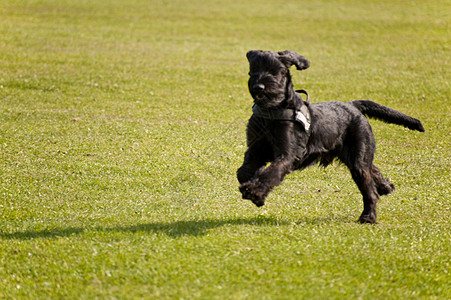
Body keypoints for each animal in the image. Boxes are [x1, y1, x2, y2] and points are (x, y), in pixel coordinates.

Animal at [238, 49, 426, 223]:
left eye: (275, 71)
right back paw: (386, 187)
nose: (258, 87)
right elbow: (244, 170)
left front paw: (255, 192)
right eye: (253, 69)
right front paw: (251, 182)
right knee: (372, 169)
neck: (271, 112)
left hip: (358, 159)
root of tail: (353, 106)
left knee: (369, 190)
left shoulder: (287, 154)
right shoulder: (255, 148)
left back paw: (368, 216)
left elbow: (272, 172)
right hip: (355, 156)